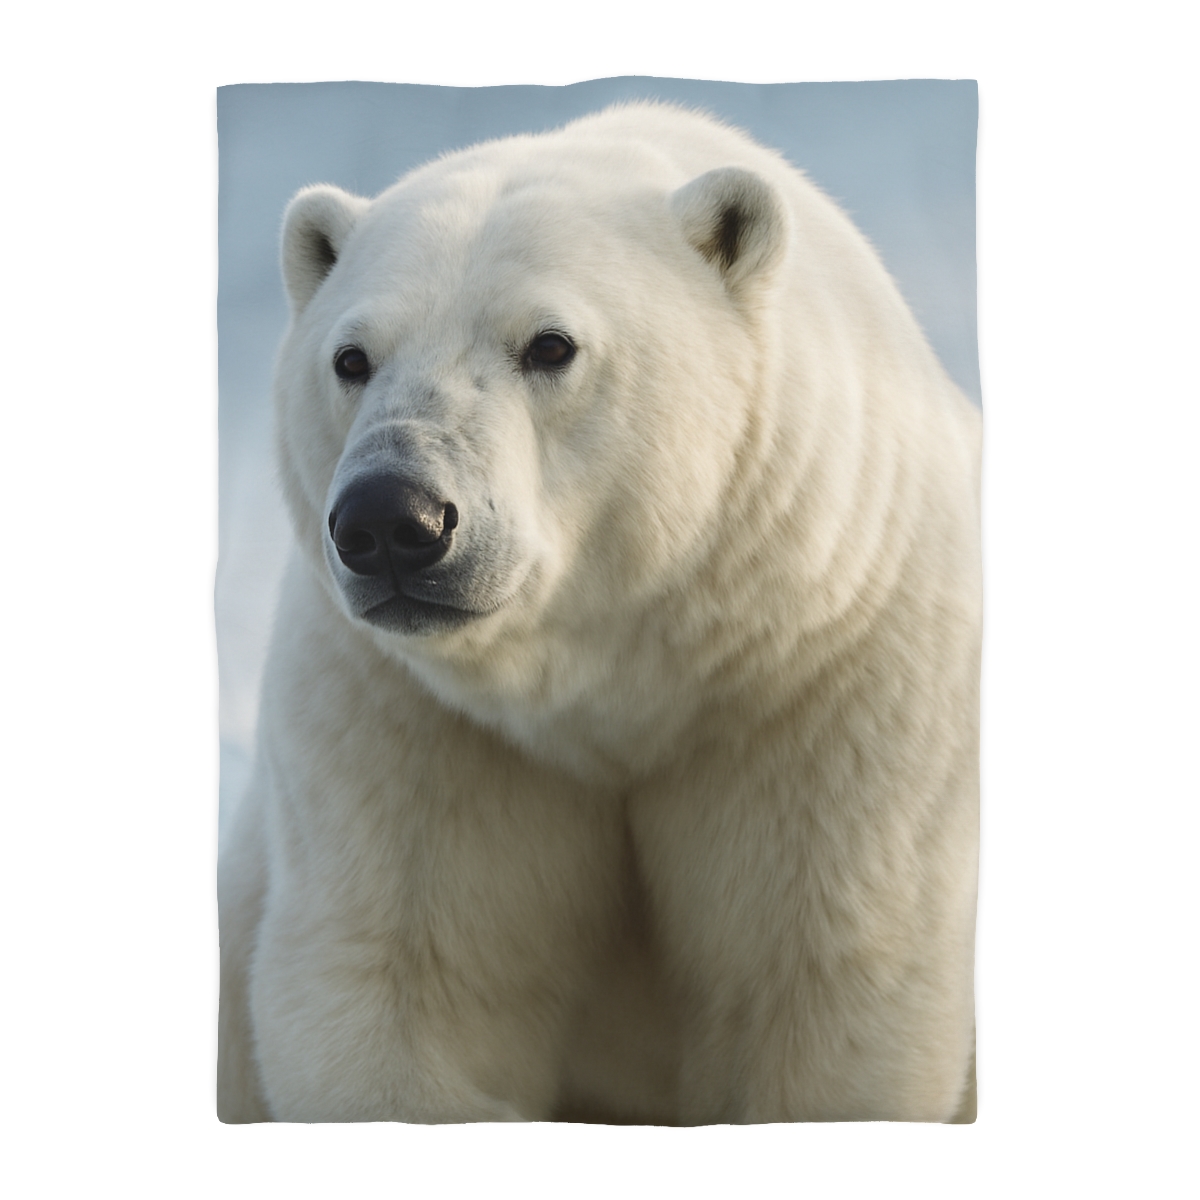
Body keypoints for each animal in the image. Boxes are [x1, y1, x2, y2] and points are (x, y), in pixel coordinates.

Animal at [218, 102, 982, 1125]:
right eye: (351, 358)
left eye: (550, 344)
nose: (391, 521)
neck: (617, 687)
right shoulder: (406, 717)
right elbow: (415, 984)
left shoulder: (831, 686)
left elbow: (815, 985)